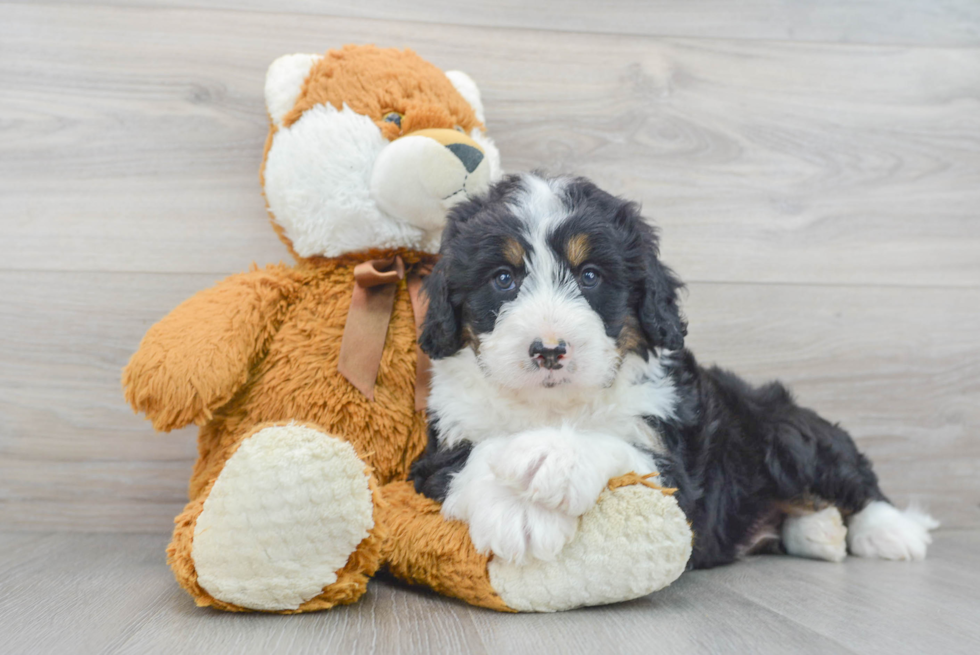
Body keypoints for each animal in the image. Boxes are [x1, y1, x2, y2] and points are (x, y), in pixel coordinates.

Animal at [410, 174, 936, 568]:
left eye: (590, 276)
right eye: (503, 278)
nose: (549, 350)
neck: (554, 404)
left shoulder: (673, 469)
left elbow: (618, 446)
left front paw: (552, 460)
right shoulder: (440, 448)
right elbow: (471, 459)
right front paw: (516, 512)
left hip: (783, 429)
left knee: (851, 477)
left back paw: (891, 532)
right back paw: (817, 532)